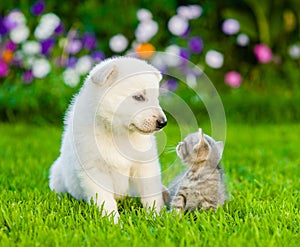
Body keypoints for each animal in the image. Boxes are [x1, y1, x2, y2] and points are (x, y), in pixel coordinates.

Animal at [49, 56, 166, 222]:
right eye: (138, 97)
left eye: (156, 98)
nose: (163, 122)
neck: (117, 133)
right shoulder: (95, 169)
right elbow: (105, 200)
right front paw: (114, 222)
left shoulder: (144, 165)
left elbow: (151, 194)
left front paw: (157, 217)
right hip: (57, 173)